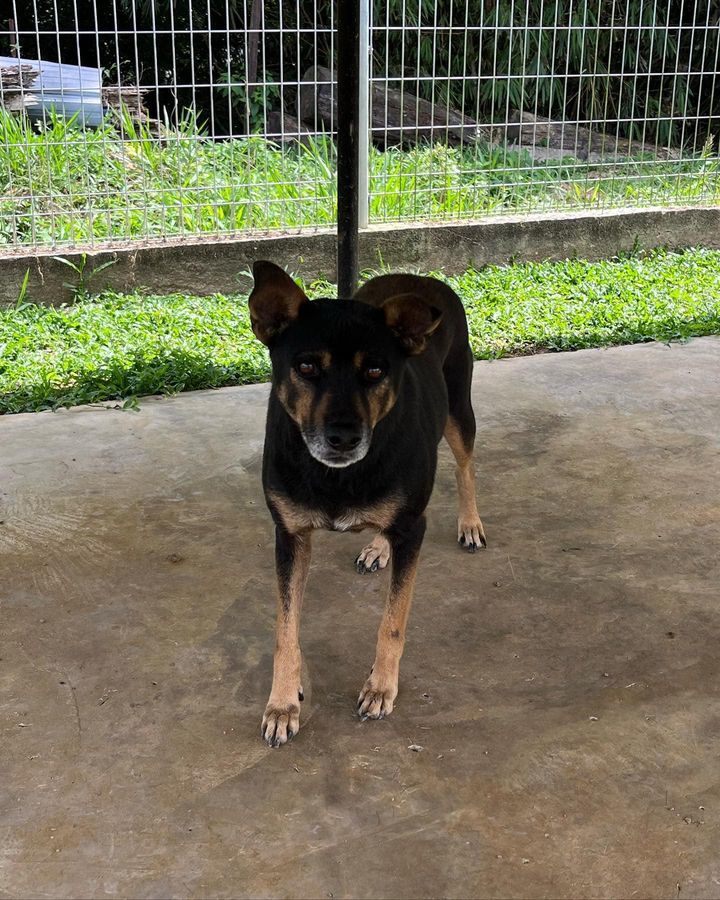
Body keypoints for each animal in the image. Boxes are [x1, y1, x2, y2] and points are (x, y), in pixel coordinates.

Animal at [249, 260, 490, 744]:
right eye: (306, 366)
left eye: (376, 371)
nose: (344, 437)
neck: (338, 475)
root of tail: (417, 278)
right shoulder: (290, 535)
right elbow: (286, 628)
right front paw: (283, 702)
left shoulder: (413, 529)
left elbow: (392, 622)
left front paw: (381, 687)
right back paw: (378, 546)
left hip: (459, 408)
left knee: (466, 465)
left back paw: (469, 523)